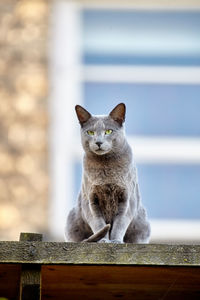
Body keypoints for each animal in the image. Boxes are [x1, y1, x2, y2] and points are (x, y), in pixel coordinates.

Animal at [65, 103, 151, 244]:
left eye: (108, 131)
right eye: (91, 132)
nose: (98, 142)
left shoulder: (127, 201)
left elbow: (119, 224)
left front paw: (116, 241)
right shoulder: (91, 202)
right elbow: (99, 224)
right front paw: (104, 241)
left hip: (143, 224)